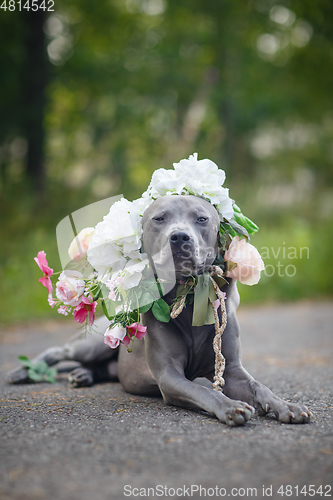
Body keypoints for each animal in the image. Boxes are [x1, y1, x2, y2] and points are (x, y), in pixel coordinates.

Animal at [7, 195, 310, 426]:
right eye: (159, 219)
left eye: (202, 219)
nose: (179, 237)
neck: (190, 300)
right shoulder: (169, 376)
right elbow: (203, 390)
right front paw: (230, 406)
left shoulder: (232, 368)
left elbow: (259, 386)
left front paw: (286, 406)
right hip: (96, 344)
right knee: (60, 351)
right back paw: (24, 372)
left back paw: (83, 375)